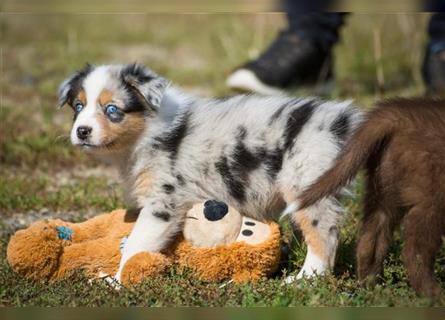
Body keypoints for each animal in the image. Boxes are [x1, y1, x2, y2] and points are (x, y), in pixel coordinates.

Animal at [59, 62, 362, 282]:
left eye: (112, 109)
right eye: (78, 106)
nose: (81, 131)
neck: (146, 131)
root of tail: (341, 121)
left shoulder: (163, 204)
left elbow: (137, 243)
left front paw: (117, 281)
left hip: (307, 184)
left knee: (324, 235)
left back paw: (305, 279)